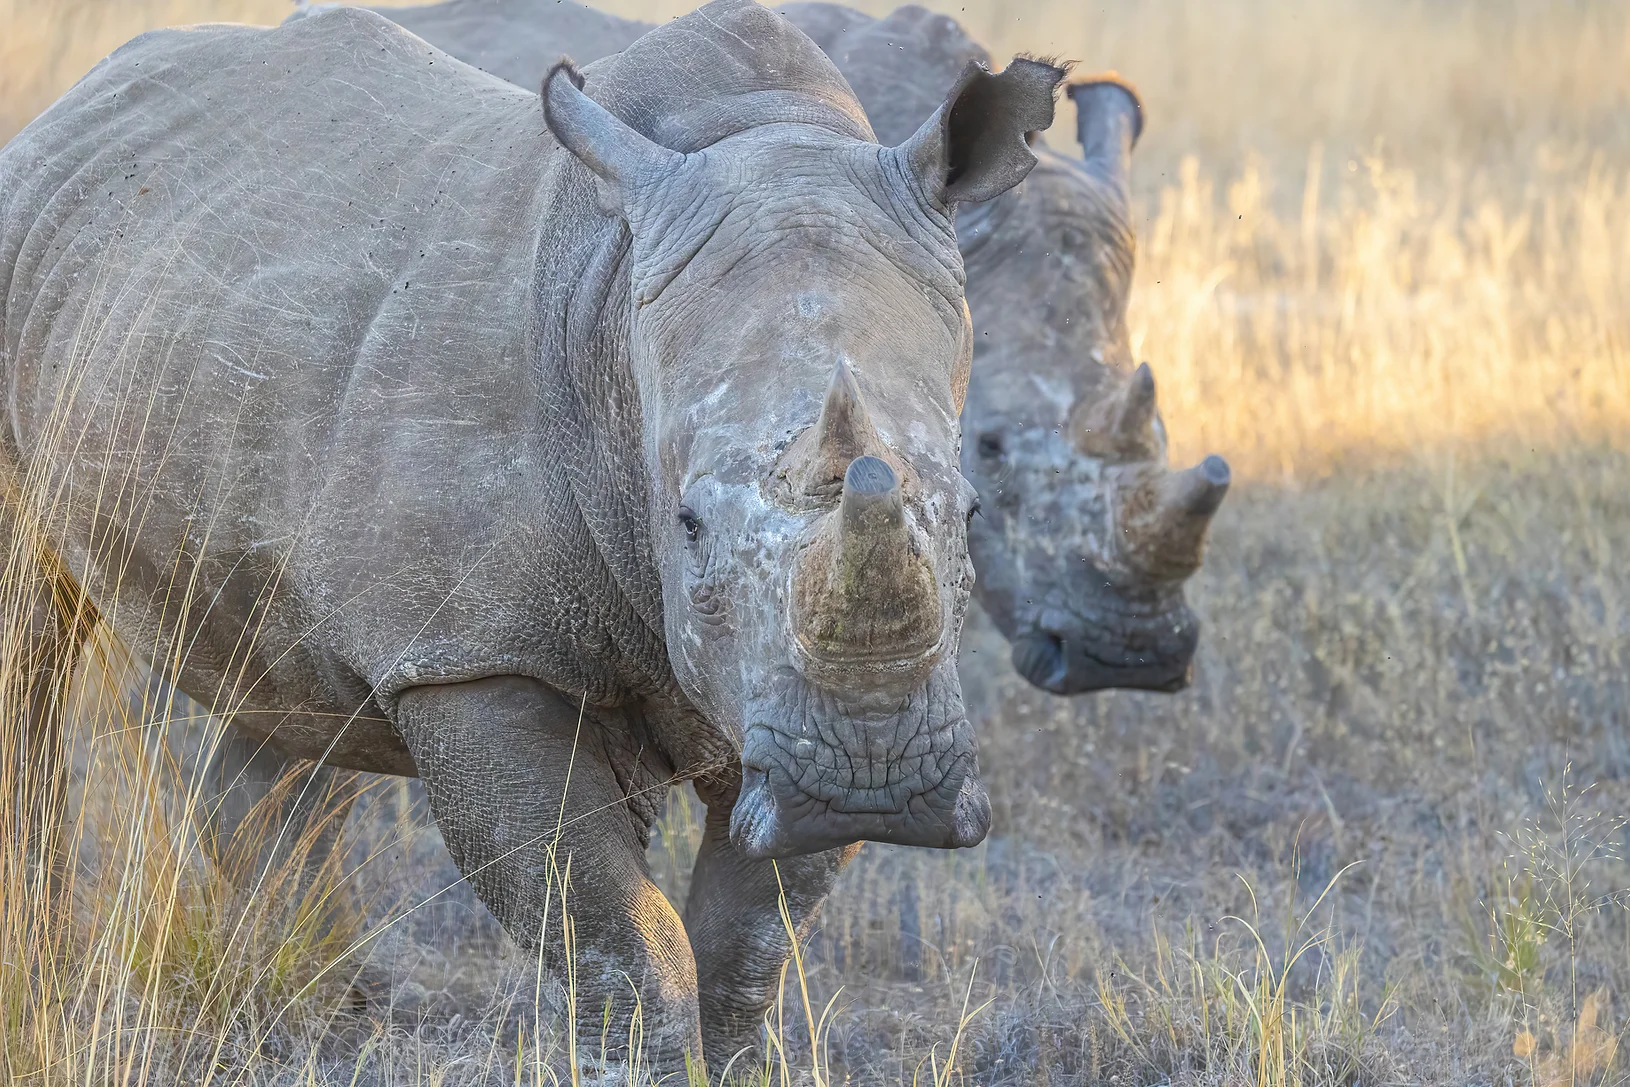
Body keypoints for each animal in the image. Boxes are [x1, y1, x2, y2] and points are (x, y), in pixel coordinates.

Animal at [0, 0, 1065, 1068]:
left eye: (971, 512)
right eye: (687, 524)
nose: (869, 782)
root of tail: (66, 113)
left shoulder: (785, 697)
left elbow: (747, 941)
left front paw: (724, 1056)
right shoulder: (472, 655)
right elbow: (615, 933)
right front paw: (638, 1063)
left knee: (290, 680)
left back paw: (321, 1005)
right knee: (37, 646)